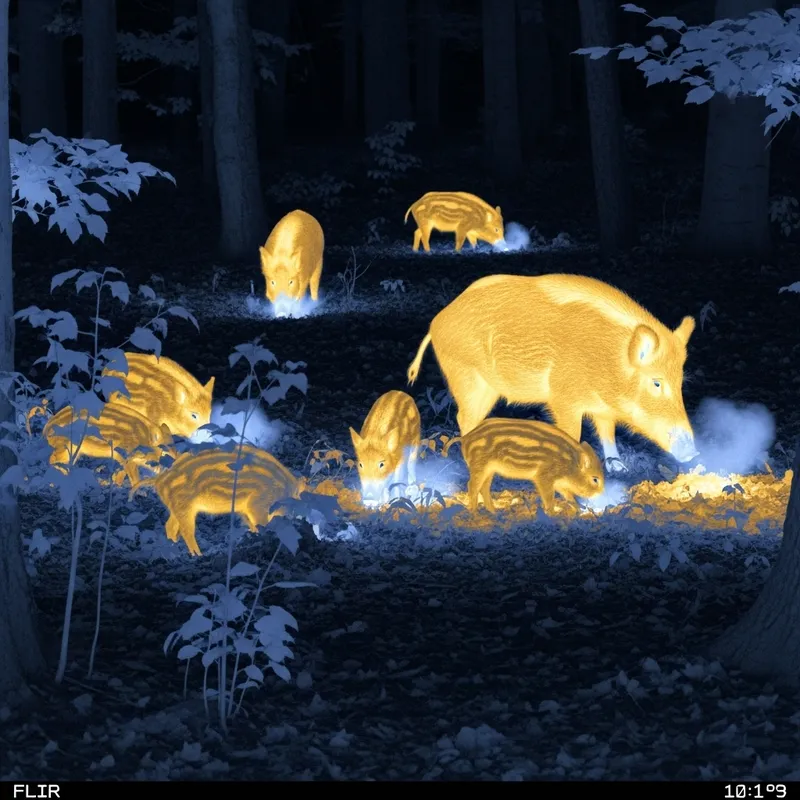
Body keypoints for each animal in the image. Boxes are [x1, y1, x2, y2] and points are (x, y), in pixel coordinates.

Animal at [43, 403, 175, 487]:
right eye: (163, 450)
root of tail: (46, 429)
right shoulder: (125, 453)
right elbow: (133, 475)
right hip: (65, 447)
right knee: (51, 459)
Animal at [129, 445, 307, 557]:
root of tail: (159, 480)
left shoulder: (245, 509)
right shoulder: (258, 505)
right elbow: (262, 524)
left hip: (177, 507)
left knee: (170, 527)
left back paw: (174, 547)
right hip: (184, 506)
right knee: (187, 531)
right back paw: (198, 555)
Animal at [408, 273, 698, 471]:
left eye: (680, 382)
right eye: (656, 383)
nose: (694, 453)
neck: (606, 361)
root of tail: (436, 322)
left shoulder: (602, 407)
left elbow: (607, 432)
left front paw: (619, 468)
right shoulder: (563, 399)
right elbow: (573, 434)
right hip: (468, 379)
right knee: (463, 417)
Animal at [442, 417, 605, 514]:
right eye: (595, 479)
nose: (601, 495)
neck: (569, 464)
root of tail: (465, 437)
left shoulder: (558, 482)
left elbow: (569, 495)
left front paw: (578, 510)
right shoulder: (544, 476)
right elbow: (549, 497)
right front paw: (553, 514)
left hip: (489, 469)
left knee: (484, 487)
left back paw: (494, 512)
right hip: (479, 466)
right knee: (472, 485)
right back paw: (474, 512)